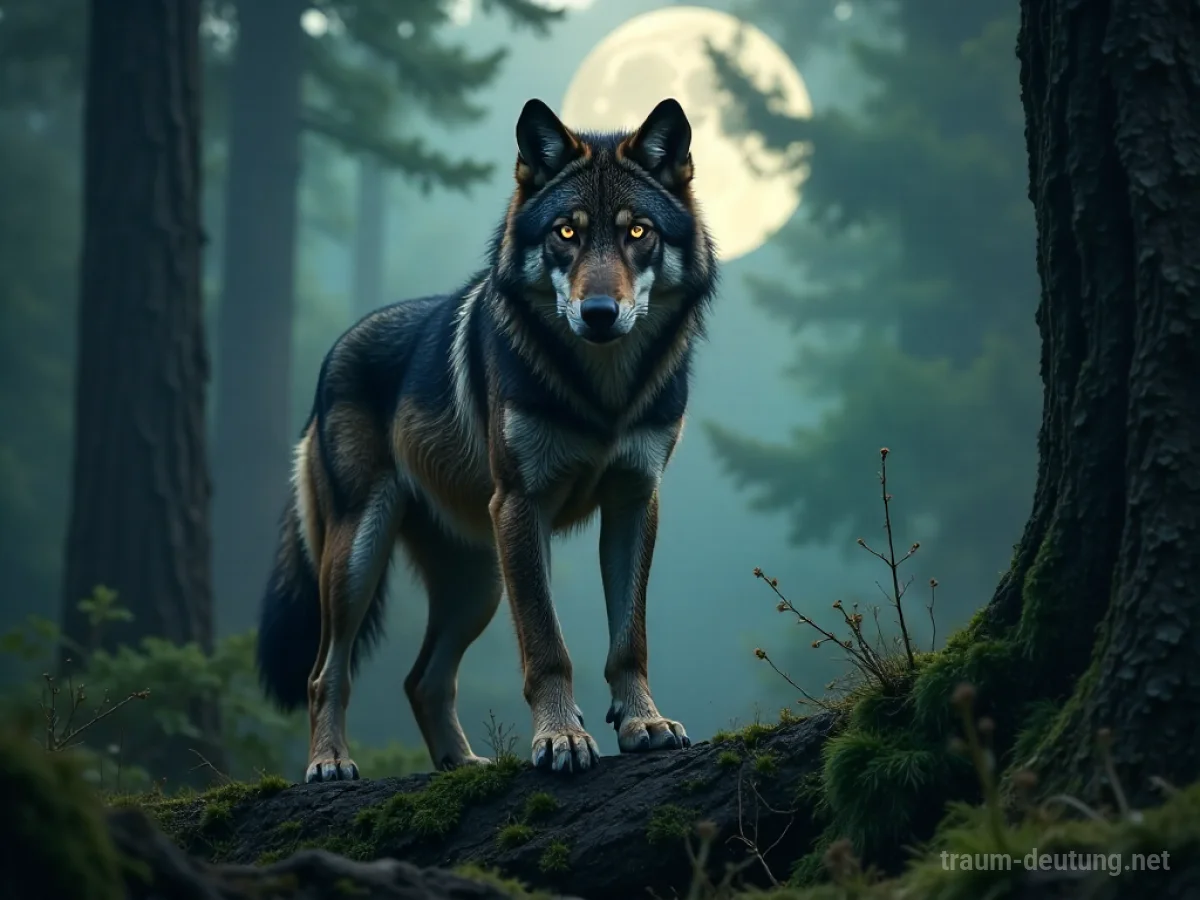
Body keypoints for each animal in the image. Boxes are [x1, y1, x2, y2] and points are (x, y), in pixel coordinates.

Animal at [255, 97, 719, 782]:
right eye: (566, 234)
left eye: (638, 233)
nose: (599, 314)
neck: (602, 392)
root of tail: (336, 350)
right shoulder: (523, 504)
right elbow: (548, 647)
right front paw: (561, 738)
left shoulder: (634, 501)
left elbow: (628, 640)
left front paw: (644, 724)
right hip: (361, 557)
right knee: (324, 674)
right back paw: (330, 763)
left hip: (479, 582)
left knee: (422, 679)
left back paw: (463, 762)